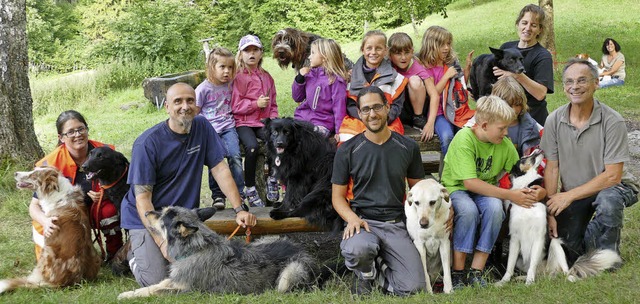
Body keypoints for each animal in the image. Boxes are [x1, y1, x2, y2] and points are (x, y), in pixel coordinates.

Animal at [118, 205, 318, 298]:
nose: (146, 212)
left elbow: (157, 291)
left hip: (289, 274)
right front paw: (129, 293)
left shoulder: (189, 291)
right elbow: (153, 286)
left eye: (162, 217)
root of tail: (301, 250)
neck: (196, 249)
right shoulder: (174, 280)